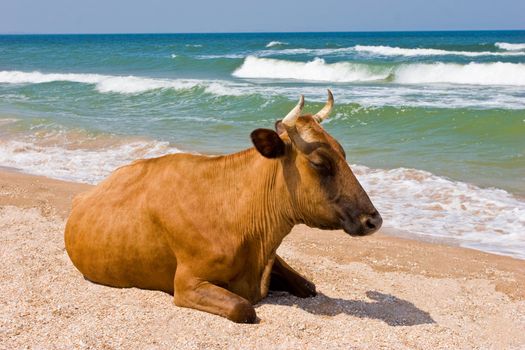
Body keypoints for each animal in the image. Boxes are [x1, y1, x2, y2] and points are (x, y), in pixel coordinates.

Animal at [64, 90, 380, 322]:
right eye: (319, 163)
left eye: (344, 153)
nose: (373, 220)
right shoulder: (187, 283)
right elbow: (244, 308)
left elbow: (308, 286)